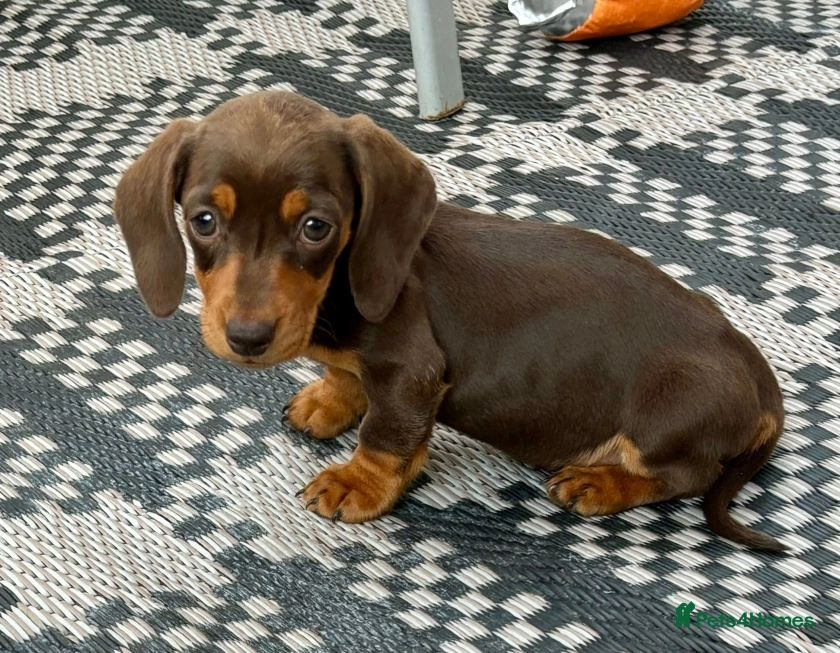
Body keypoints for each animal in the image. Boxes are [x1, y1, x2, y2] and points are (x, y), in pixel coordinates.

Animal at [113, 90, 788, 552]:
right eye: (203, 220)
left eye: (316, 228)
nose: (247, 339)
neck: (335, 294)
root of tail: (761, 379)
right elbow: (347, 379)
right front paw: (328, 400)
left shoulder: (413, 374)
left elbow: (386, 437)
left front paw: (358, 484)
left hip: (667, 408)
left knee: (688, 473)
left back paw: (602, 483)